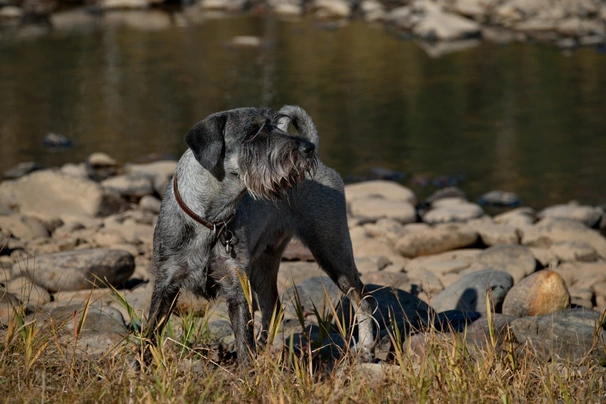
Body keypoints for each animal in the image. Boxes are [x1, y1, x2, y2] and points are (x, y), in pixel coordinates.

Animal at [147, 104, 376, 362]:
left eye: (274, 125)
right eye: (253, 131)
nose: (308, 149)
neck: (209, 220)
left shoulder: (237, 286)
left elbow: (244, 340)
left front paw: (247, 369)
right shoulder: (166, 281)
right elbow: (150, 331)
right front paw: (141, 364)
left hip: (332, 253)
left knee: (362, 298)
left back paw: (365, 347)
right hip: (263, 267)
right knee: (272, 308)